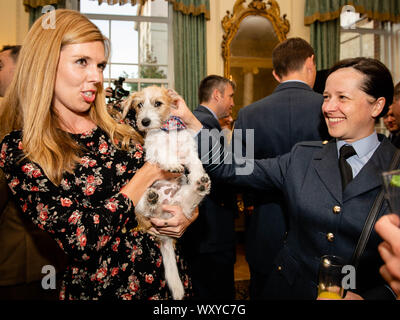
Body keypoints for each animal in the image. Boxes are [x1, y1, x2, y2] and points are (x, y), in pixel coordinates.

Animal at [121, 85, 209, 300]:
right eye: (139, 105)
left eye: (158, 103)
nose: (144, 122)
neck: (168, 130)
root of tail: (165, 238)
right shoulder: (154, 149)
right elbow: (163, 153)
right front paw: (171, 164)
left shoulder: (189, 151)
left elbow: (196, 165)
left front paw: (197, 176)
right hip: (140, 208)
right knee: (146, 209)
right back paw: (152, 198)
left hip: (181, 202)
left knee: (189, 202)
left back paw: (200, 186)